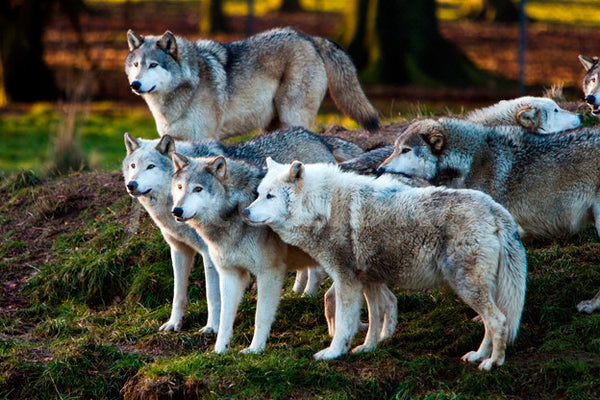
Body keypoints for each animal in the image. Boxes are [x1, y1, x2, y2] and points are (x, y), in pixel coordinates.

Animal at [125, 27, 380, 141]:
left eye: (153, 65)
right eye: (137, 64)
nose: (135, 85)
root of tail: (308, 38)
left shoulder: (205, 139)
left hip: (292, 115)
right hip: (271, 124)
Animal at [243, 158, 524, 370]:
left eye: (270, 196)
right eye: (257, 195)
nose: (244, 212)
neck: (324, 207)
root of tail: (495, 208)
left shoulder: (347, 282)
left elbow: (345, 323)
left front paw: (333, 352)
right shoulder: (369, 281)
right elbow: (375, 317)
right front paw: (368, 347)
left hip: (467, 287)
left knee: (499, 320)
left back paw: (493, 363)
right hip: (477, 289)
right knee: (491, 322)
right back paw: (479, 356)